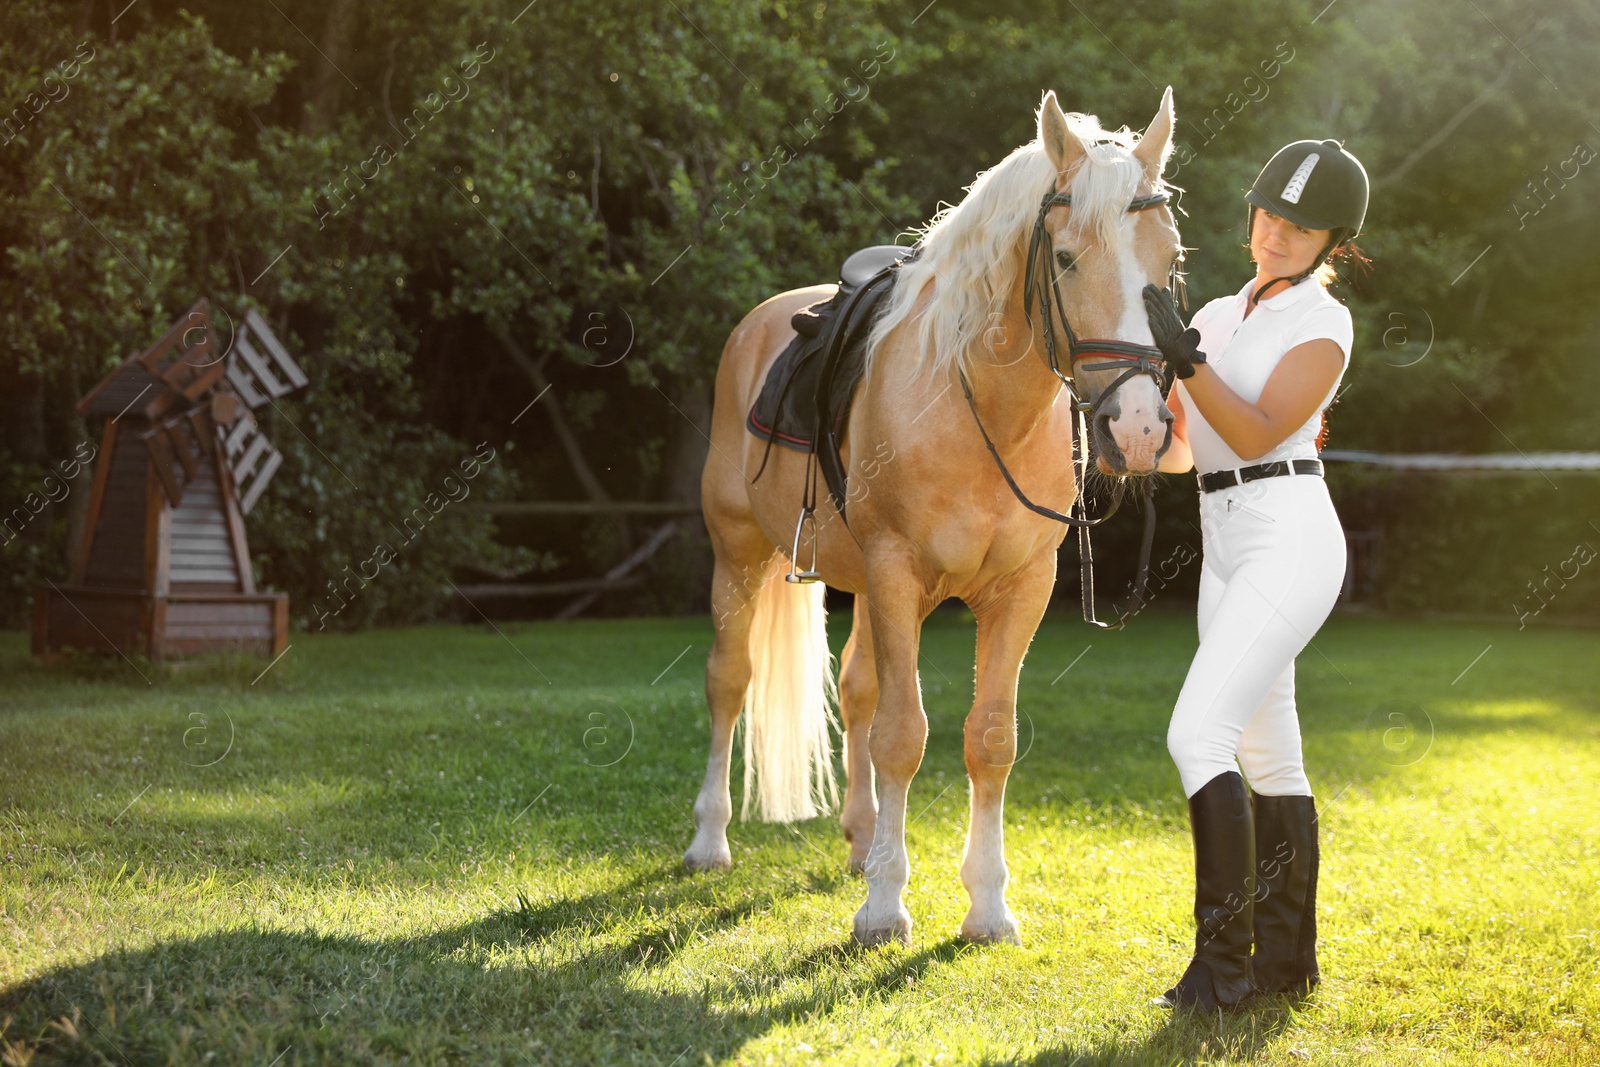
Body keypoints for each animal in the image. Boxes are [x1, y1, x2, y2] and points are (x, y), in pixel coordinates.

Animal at [688, 87, 1190, 947]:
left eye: (1171, 262)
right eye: (1065, 259)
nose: (1136, 429)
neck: (979, 406)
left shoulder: (1021, 587)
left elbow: (989, 738)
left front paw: (986, 906)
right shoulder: (896, 572)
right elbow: (902, 735)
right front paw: (886, 907)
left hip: (851, 578)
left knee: (855, 687)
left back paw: (862, 840)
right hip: (740, 552)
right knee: (731, 680)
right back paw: (711, 840)